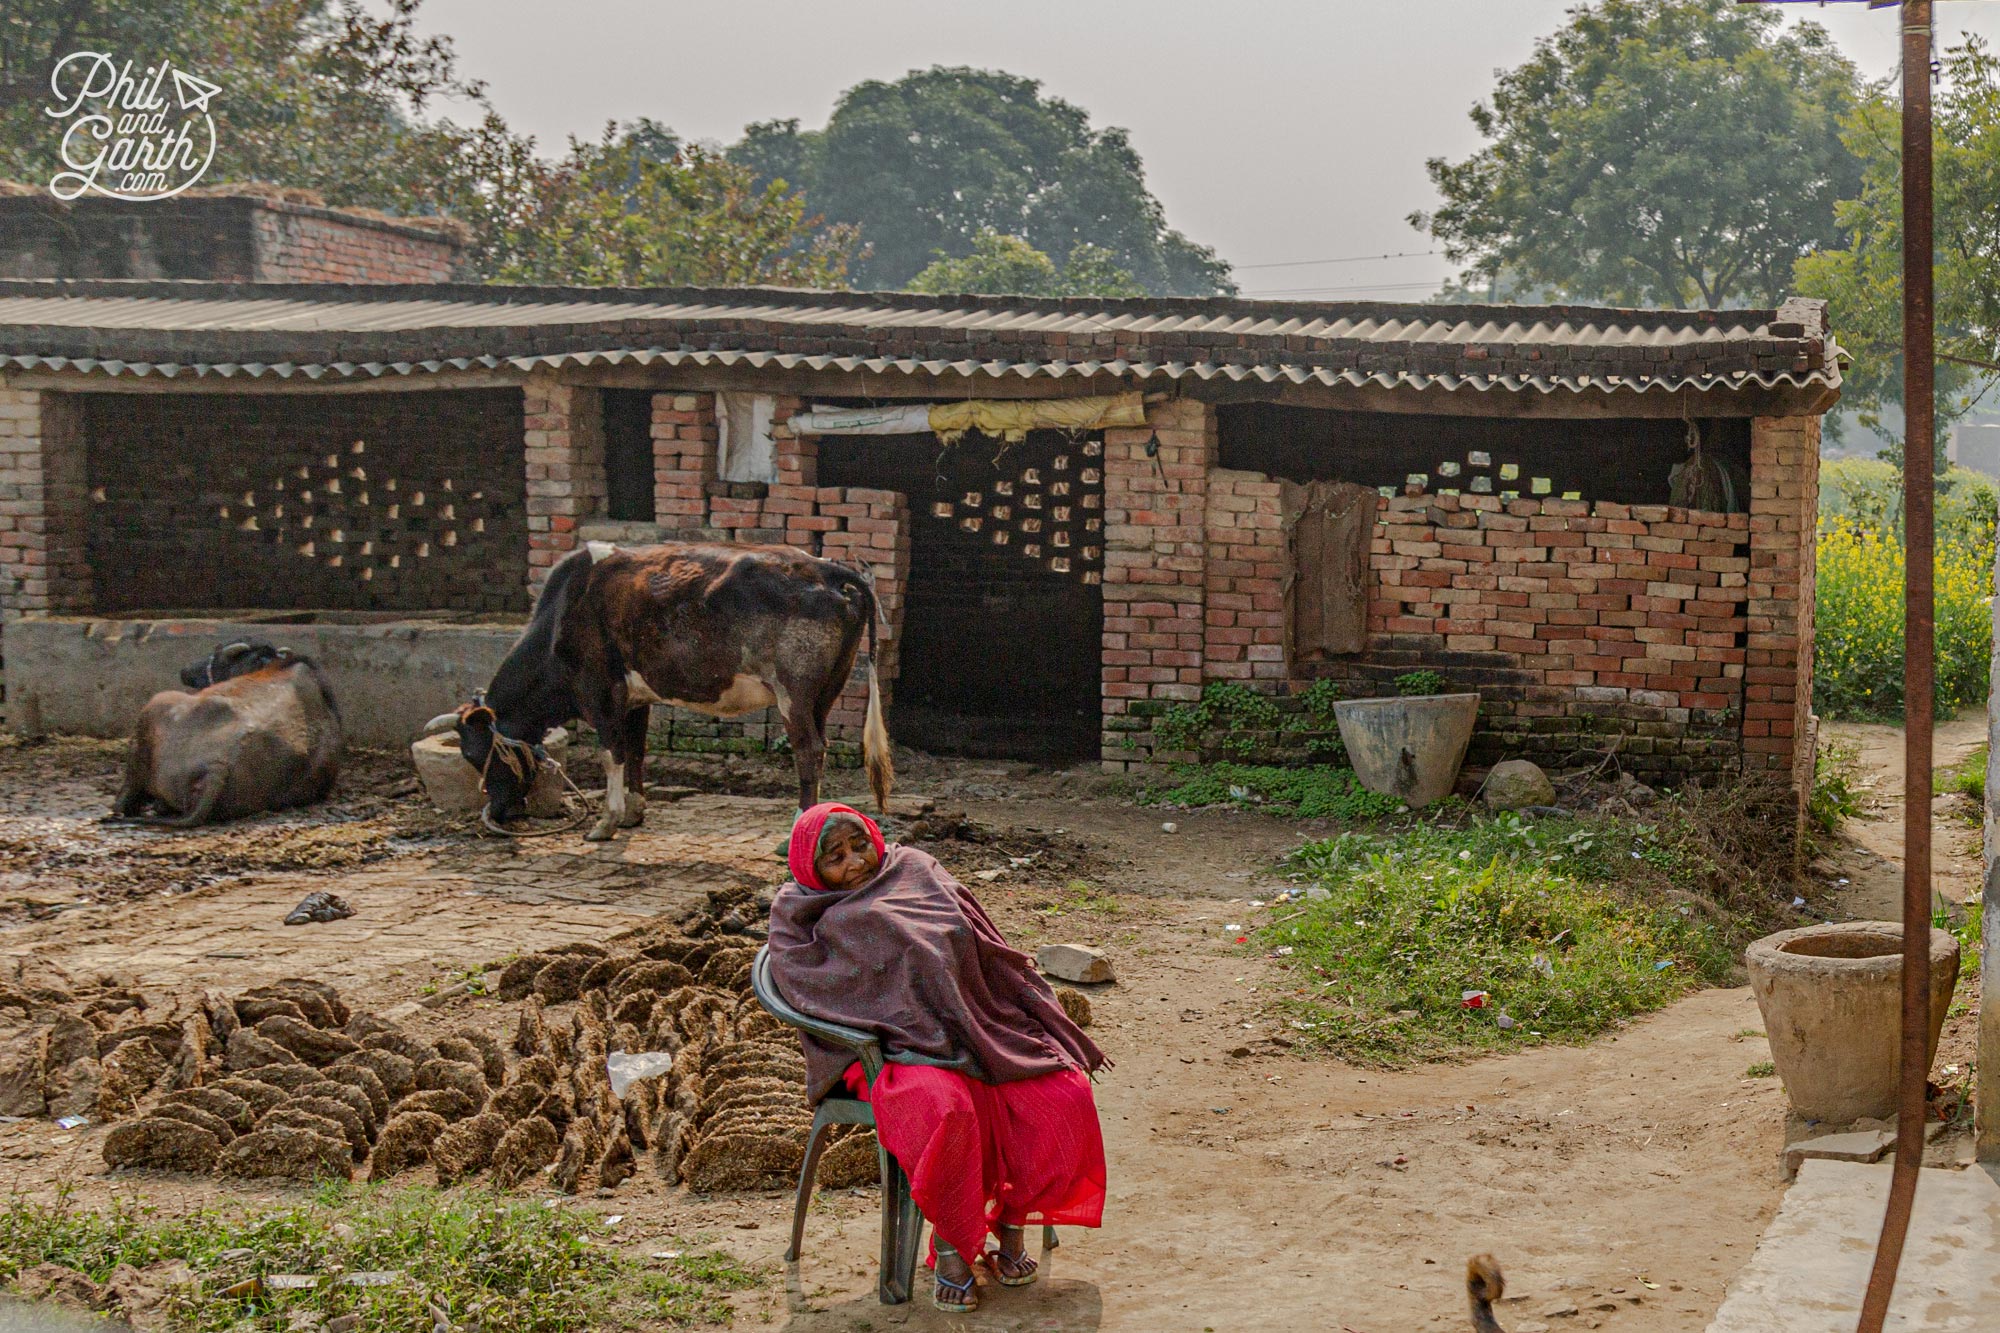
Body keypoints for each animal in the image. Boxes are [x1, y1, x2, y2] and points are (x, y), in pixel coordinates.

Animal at [430, 536, 892, 832]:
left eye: (474, 754)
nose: (498, 812)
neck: (560, 618)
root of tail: (827, 569)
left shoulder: (599, 692)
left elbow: (611, 753)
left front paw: (606, 821)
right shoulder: (636, 697)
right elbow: (636, 751)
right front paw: (634, 812)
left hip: (792, 691)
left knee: (808, 751)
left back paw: (798, 824)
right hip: (825, 692)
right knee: (821, 745)